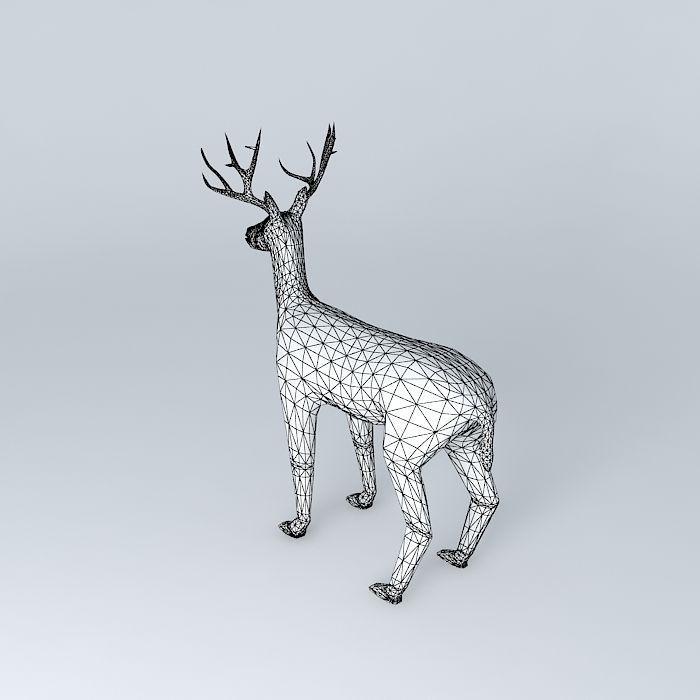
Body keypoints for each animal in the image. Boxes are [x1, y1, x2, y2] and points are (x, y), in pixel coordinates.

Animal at [200, 125, 499, 604]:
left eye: (265, 223)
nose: (247, 231)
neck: (296, 307)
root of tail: (484, 400)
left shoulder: (295, 391)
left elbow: (301, 458)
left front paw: (297, 525)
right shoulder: (354, 407)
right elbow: (359, 446)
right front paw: (363, 499)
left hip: (408, 446)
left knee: (422, 523)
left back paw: (390, 588)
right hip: (468, 442)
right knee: (488, 498)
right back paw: (458, 557)